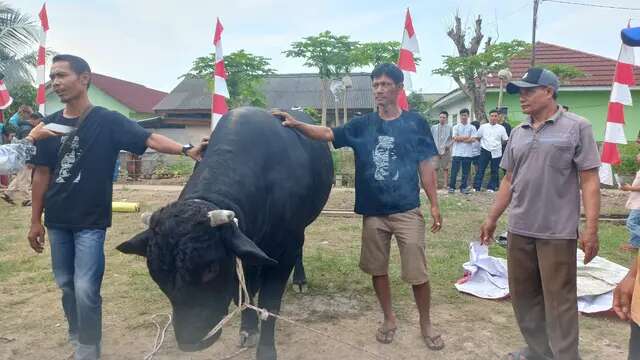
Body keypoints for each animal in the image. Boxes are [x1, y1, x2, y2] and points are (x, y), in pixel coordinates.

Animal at [117, 107, 332, 360]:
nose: (190, 342)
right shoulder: (244, 250)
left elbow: (269, 304)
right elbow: (244, 292)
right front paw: (248, 329)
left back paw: (299, 279)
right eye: (156, 274)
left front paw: (266, 349)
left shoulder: (286, 246)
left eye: (211, 269)